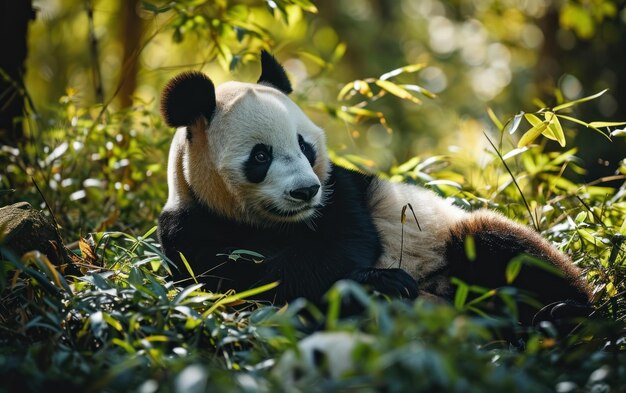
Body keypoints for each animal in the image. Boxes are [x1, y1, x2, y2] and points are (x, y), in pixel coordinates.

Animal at [157, 49, 588, 324]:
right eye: (261, 156)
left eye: (304, 145)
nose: (305, 192)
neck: (276, 224)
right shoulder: (189, 227)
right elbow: (246, 283)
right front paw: (380, 284)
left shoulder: (340, 190)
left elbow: (345, 242)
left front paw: (381, 280)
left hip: (448, 238)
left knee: (498, 244)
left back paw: (566, 312)